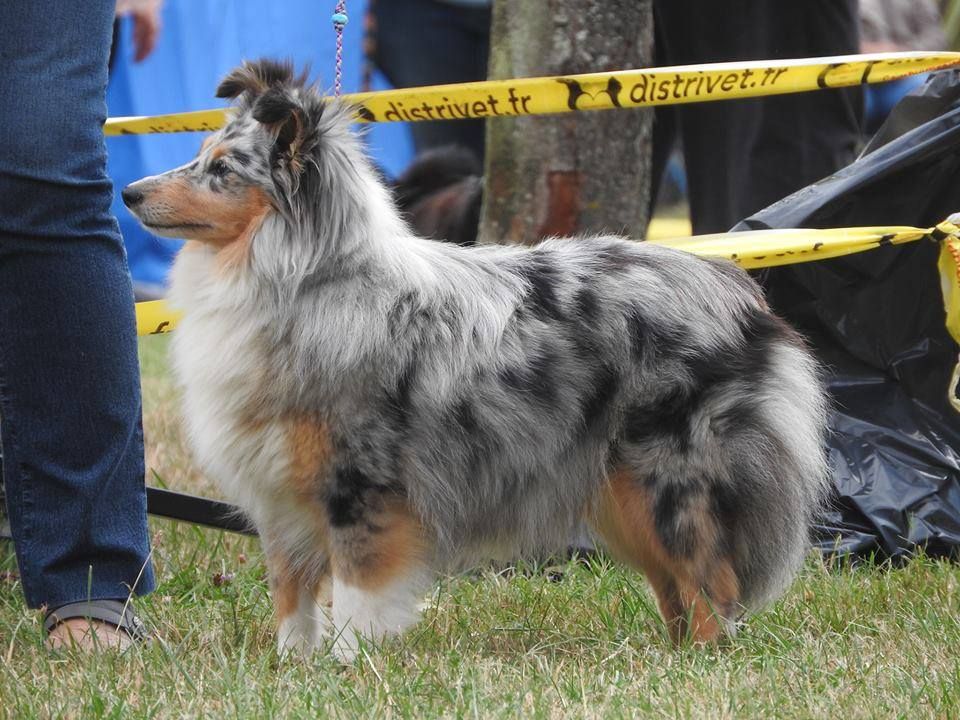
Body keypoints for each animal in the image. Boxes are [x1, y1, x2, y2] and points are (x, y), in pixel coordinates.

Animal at [124, 60, 828, 660]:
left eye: (221, 170)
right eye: (200, 156)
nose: (128, 192)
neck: (305, 280)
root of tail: (737, 290)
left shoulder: (363, 488)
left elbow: (355, 597)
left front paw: (349, 669)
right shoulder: (282, 495)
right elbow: (291, 596)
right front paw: (293, 668)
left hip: (670, 480)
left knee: (713, 583)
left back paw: (704, 663)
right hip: (619, 495)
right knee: (678, 585)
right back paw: (671, 659)